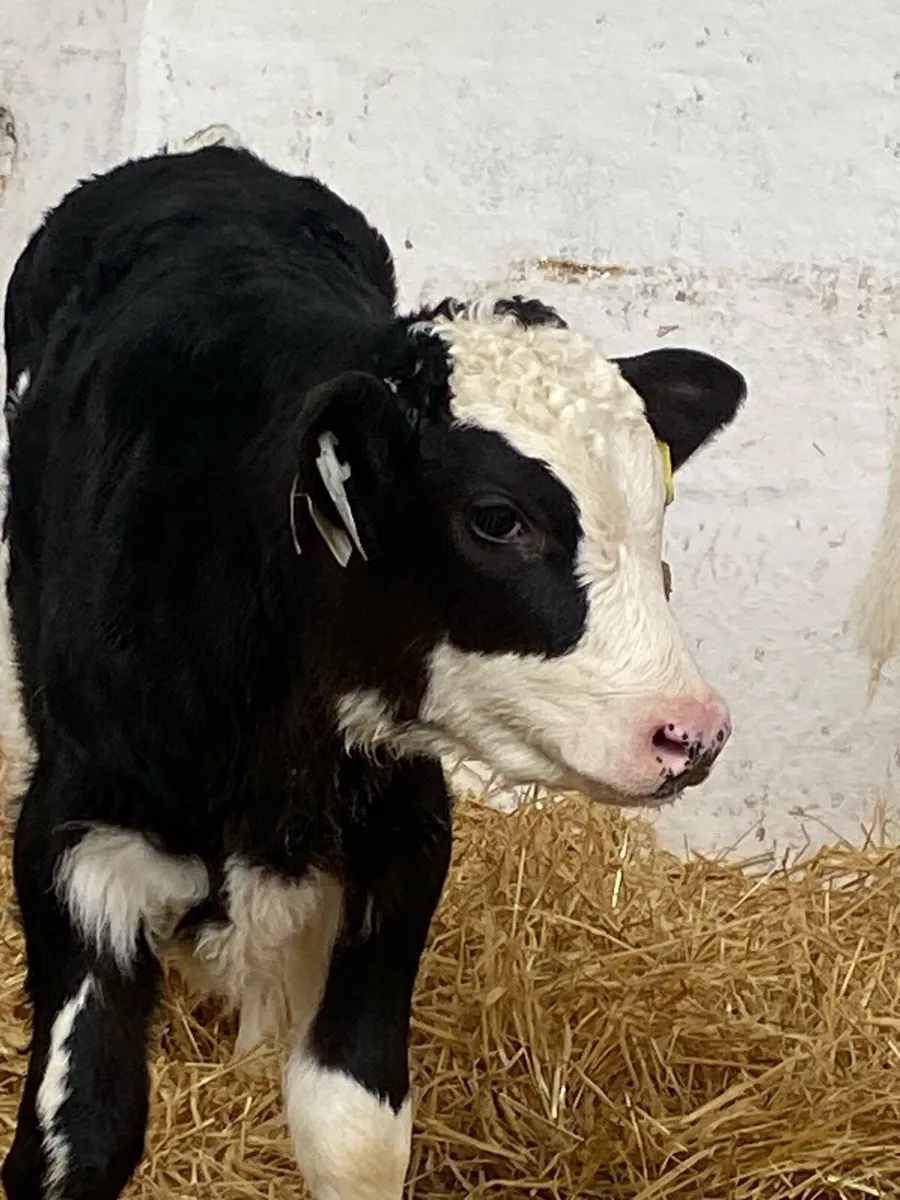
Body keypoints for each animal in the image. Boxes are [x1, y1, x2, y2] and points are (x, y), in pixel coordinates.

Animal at [0, 135, 746, 1200]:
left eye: (657, 505)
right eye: (496, 518)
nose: (690, 731)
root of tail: (210, 158)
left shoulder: (406, 832)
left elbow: (350, 1125)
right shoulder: (73, 835)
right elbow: (80, 1136)